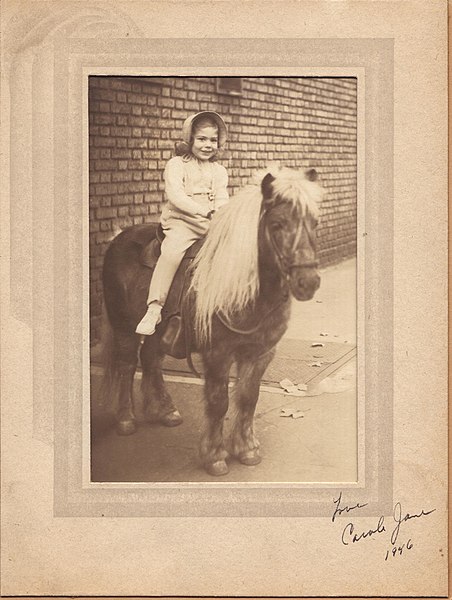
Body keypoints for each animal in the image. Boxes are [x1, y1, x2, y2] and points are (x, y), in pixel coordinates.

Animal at [100, 166, 324, 476]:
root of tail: (119, 236)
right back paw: (126, 419)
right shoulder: (218, 354)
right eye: (278, 224)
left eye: (314, 222)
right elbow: (219, 402)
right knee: (126, 365)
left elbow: (248, 398)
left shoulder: (260, 353)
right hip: (124, 328)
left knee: (151, 360)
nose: (308, 282)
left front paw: (247, 449)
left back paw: (164, 410)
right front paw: (215, 456)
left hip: (157, 333)